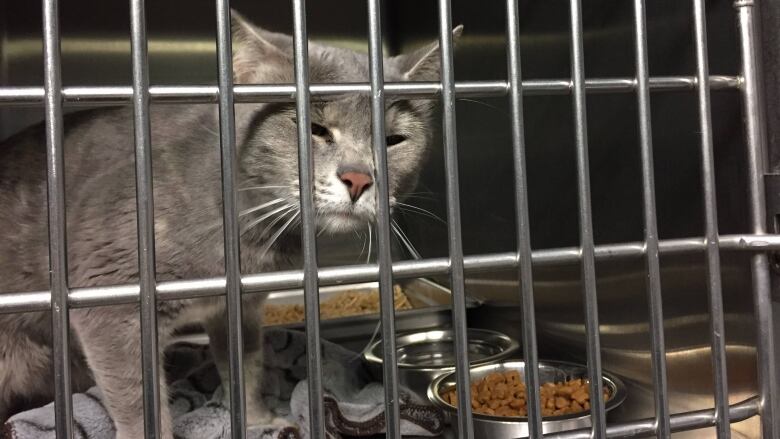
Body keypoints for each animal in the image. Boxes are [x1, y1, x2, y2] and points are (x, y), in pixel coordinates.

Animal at [0, 10, 460, 439]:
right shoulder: (111, 301)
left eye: (393, 140)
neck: (253, 235)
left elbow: (246, 366)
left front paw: (258, 419)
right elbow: (137, 399)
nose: (359, 178)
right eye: (314, 128)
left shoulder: (241, 305)